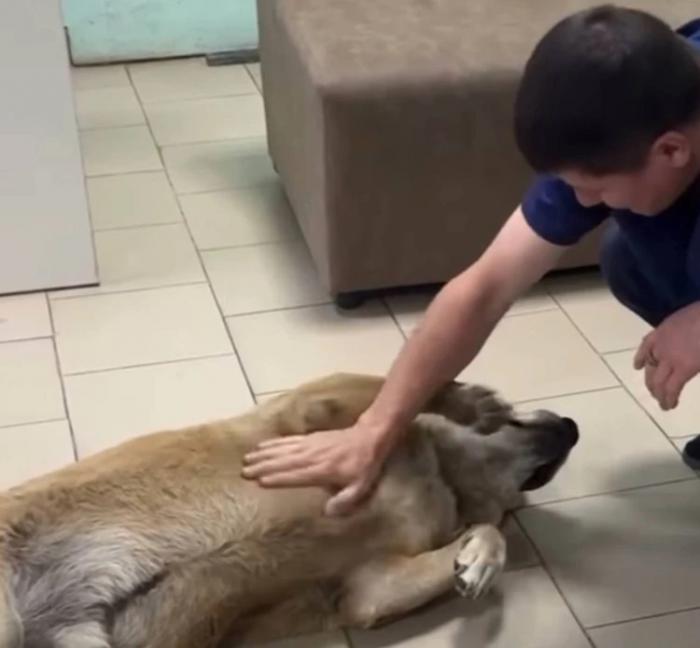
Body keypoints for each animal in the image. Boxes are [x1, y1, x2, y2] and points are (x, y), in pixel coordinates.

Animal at [0, 373, 578, 648]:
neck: (445, 475)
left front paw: (479, 556)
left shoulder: (370, 588)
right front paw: (469, 402)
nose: (572, 426)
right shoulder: (312, 407)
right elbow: (393, 386)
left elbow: (482, 536)